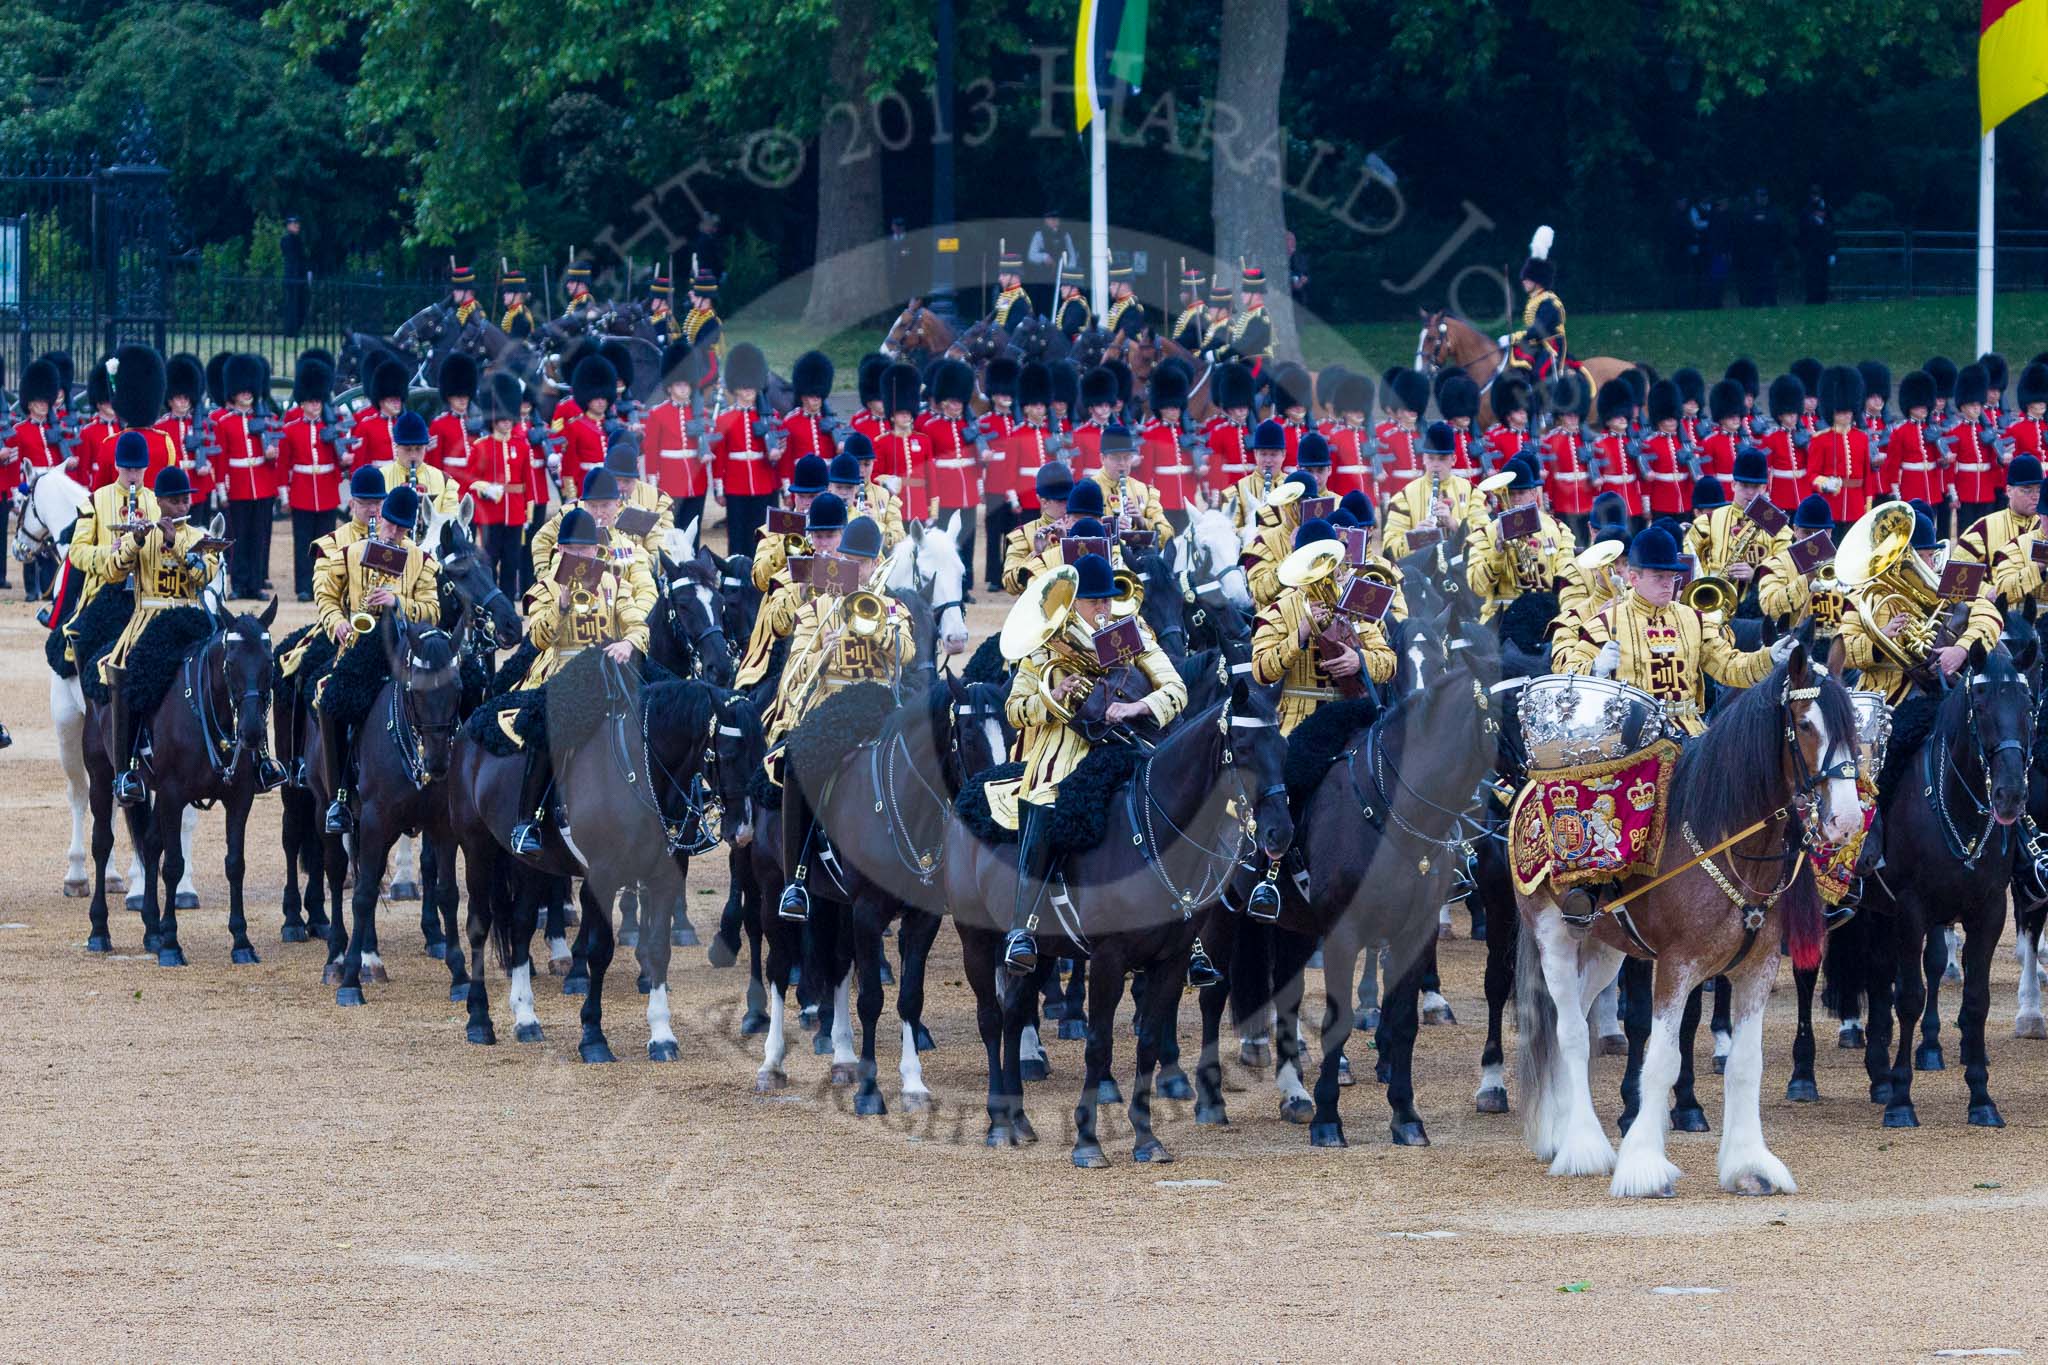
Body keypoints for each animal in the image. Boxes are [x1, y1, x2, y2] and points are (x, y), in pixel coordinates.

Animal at [1515, 650, 1867, 1195]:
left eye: (1852, 726)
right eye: (1806, 725)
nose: (1846, 821)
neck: (1731, 844)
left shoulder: (1757, 967)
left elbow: (1745, 1065)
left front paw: (1749, 1164)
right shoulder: (1676, 966)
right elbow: (1662, 1061)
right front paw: (1643, 1165)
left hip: (1603, 948)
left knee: (1565, 1017)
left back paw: (1560, 1129)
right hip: (1553, 933)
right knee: (1571, 1032)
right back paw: (1584, 1147)